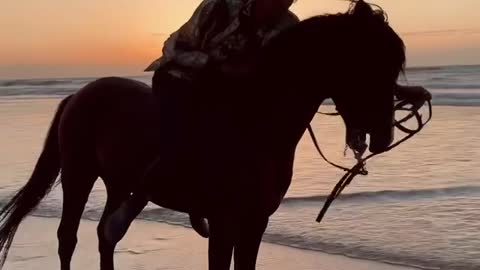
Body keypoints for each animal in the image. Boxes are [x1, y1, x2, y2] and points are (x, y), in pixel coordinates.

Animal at [0, 1, 406, 270]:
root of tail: (79, 94)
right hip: (78, 174)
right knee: (68, 238)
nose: (383, 133)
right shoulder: (224, 221)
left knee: (105, 233)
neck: (256, 124)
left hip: (119, 181)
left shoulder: (255, 220)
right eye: (366, 62)